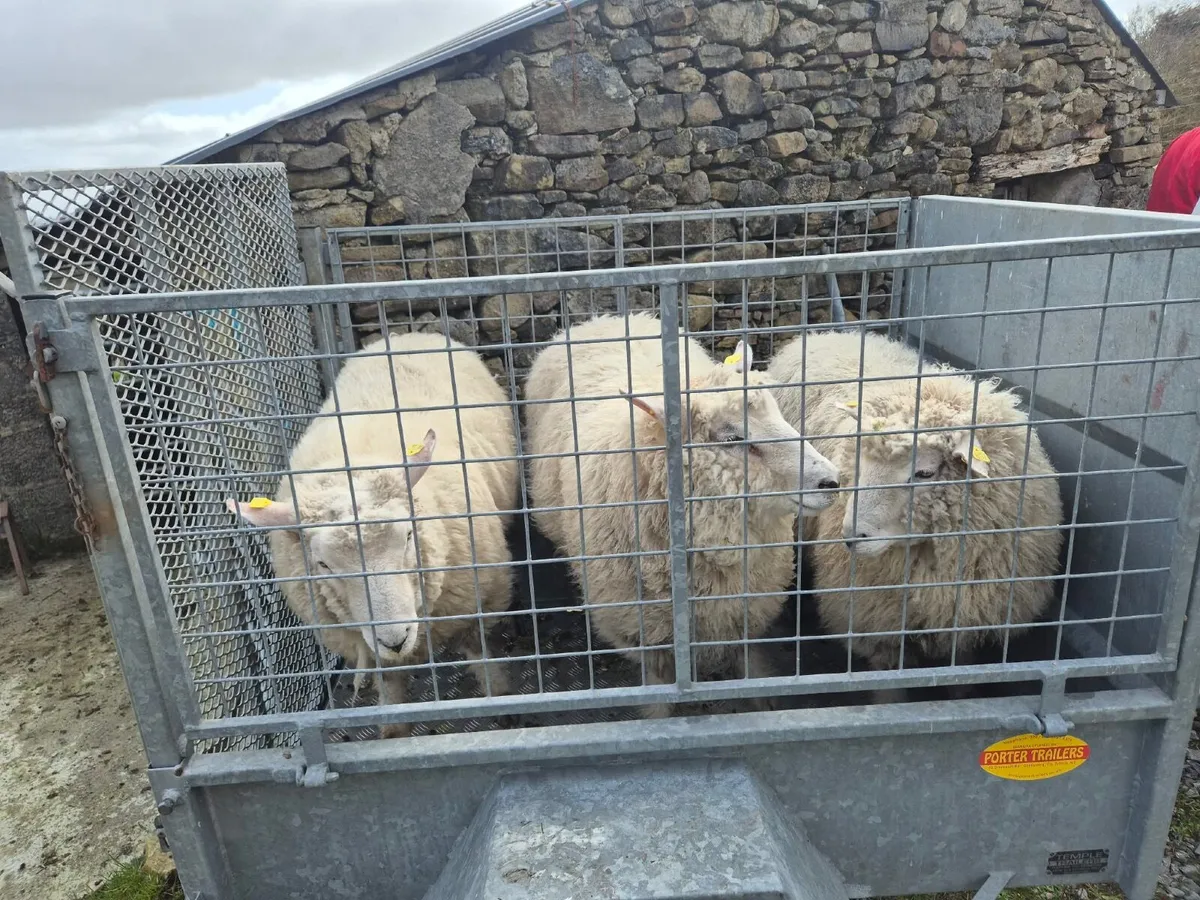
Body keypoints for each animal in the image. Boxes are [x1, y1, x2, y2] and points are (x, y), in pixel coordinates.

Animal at [229, 331, 518, 737]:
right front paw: (393, 732)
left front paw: (504, 700)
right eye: (323, 564)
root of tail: (408, 334)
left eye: (408, 537)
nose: (394, 640)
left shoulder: (479, 600)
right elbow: (391, 689)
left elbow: (482, 653)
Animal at [524, 312, 841, 716]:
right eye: (732, 439)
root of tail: (608, 318)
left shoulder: (746, 612)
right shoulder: (645, 632)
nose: (831, 481)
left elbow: (751, 666)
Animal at [768, 329, 1064, 692]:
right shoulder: (877, 622)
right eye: (857, 460)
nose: (851, 536)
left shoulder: (964, 621)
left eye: (924, 472)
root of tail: (828, 333)